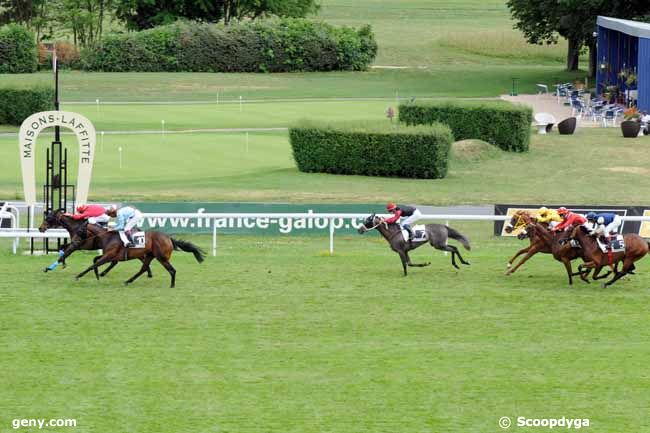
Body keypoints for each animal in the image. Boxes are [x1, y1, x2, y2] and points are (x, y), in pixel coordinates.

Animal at [73, 223, 205, 286]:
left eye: (79, 231)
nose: (73, 242)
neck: (109, 237)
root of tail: (169, 238)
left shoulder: (109, 256)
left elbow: (93, 265)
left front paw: (78, 276)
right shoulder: (109, 255)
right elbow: (95, 260)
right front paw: (98, 275)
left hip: (161, 257)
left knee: (172, 270)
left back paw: (172, 285)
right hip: (150, 255)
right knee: (143, 268)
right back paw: (128, 281)